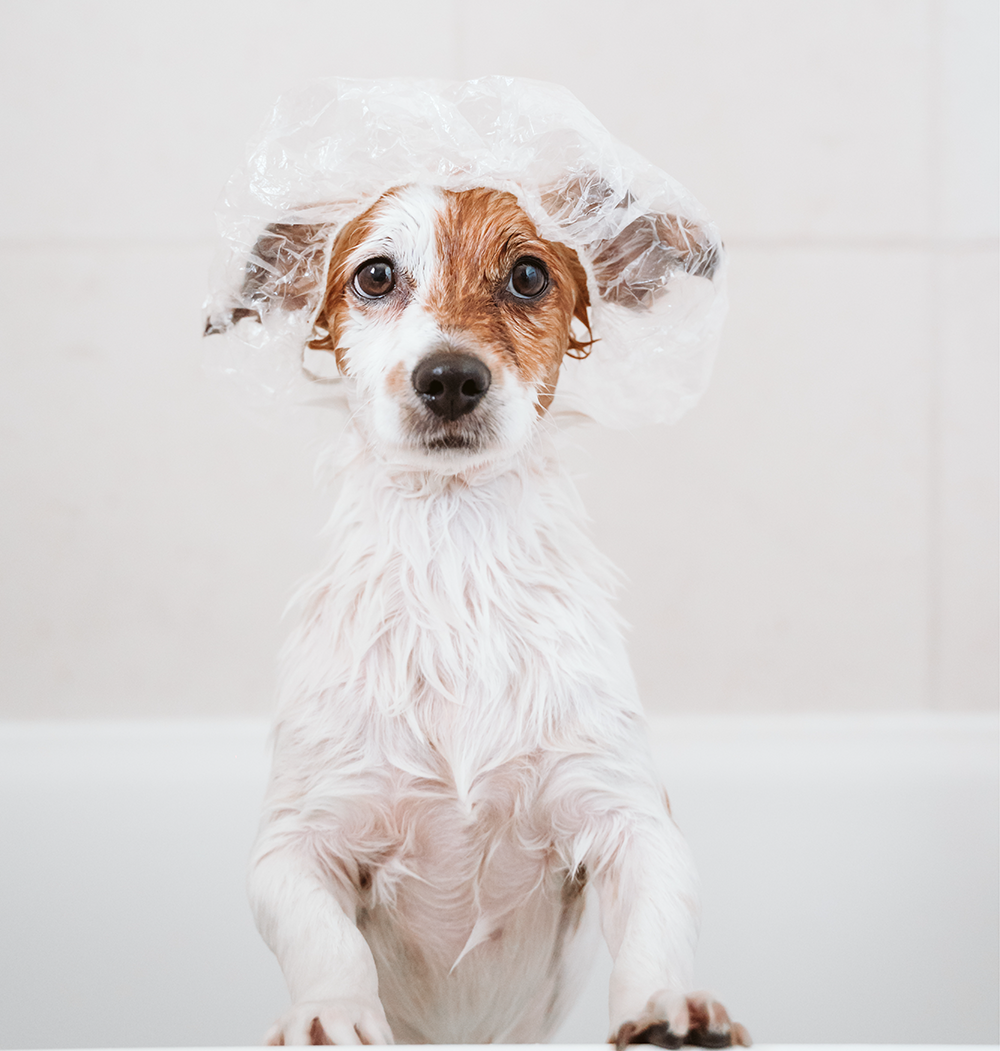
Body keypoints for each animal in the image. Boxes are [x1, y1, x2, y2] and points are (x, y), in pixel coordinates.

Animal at [225, 176, 744, 1046]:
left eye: (529, 275)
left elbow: (655, 926)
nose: (450, 377)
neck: (456, 556)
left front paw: (665, 1008)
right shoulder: (299, 840)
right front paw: (332, 1014)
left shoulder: (629, 816)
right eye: (374, 275)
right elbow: (327, 943)